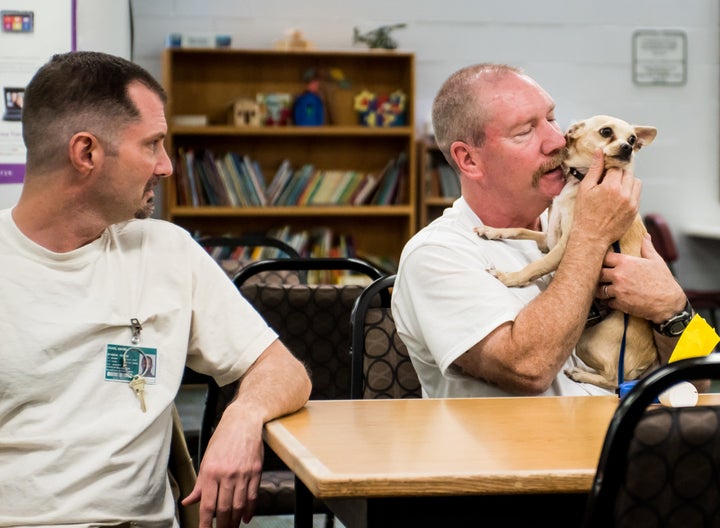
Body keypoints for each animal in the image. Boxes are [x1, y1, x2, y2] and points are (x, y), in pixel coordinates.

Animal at [478, 114, 660, 388]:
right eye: (606, 132)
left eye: (632, 139)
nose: (627, 148)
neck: (580, 181)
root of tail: (648, 361)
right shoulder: (548, 240)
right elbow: (519, 230)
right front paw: (492, 231)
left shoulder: (566, 246)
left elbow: (536, 266)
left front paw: (509, 278)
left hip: (594, 341)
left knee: (613, 380)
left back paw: (581, 374)